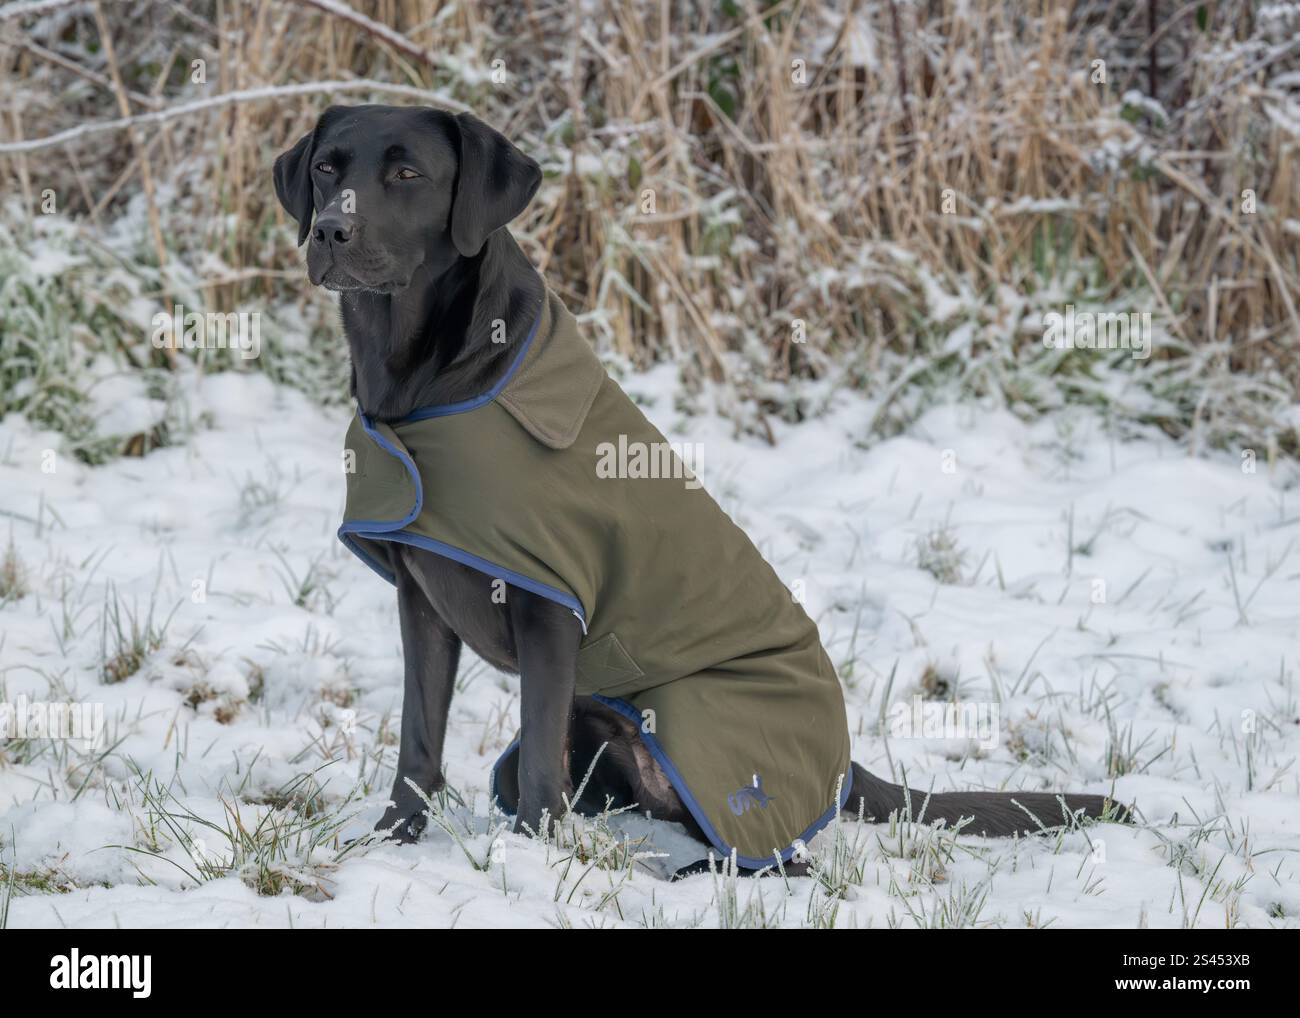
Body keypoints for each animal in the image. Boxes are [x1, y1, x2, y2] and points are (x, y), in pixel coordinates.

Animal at [271, 105, 1118, 868]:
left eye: (408, 174)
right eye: (327, 169)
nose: (331, 232)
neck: (431, 384)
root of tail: (845, 770)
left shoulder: (551, 607)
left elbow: (540, 763)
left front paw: (530, 868)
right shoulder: (422, 603)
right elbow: (420, 739)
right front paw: (391, 841)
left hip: (686, 712)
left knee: (773, 857)